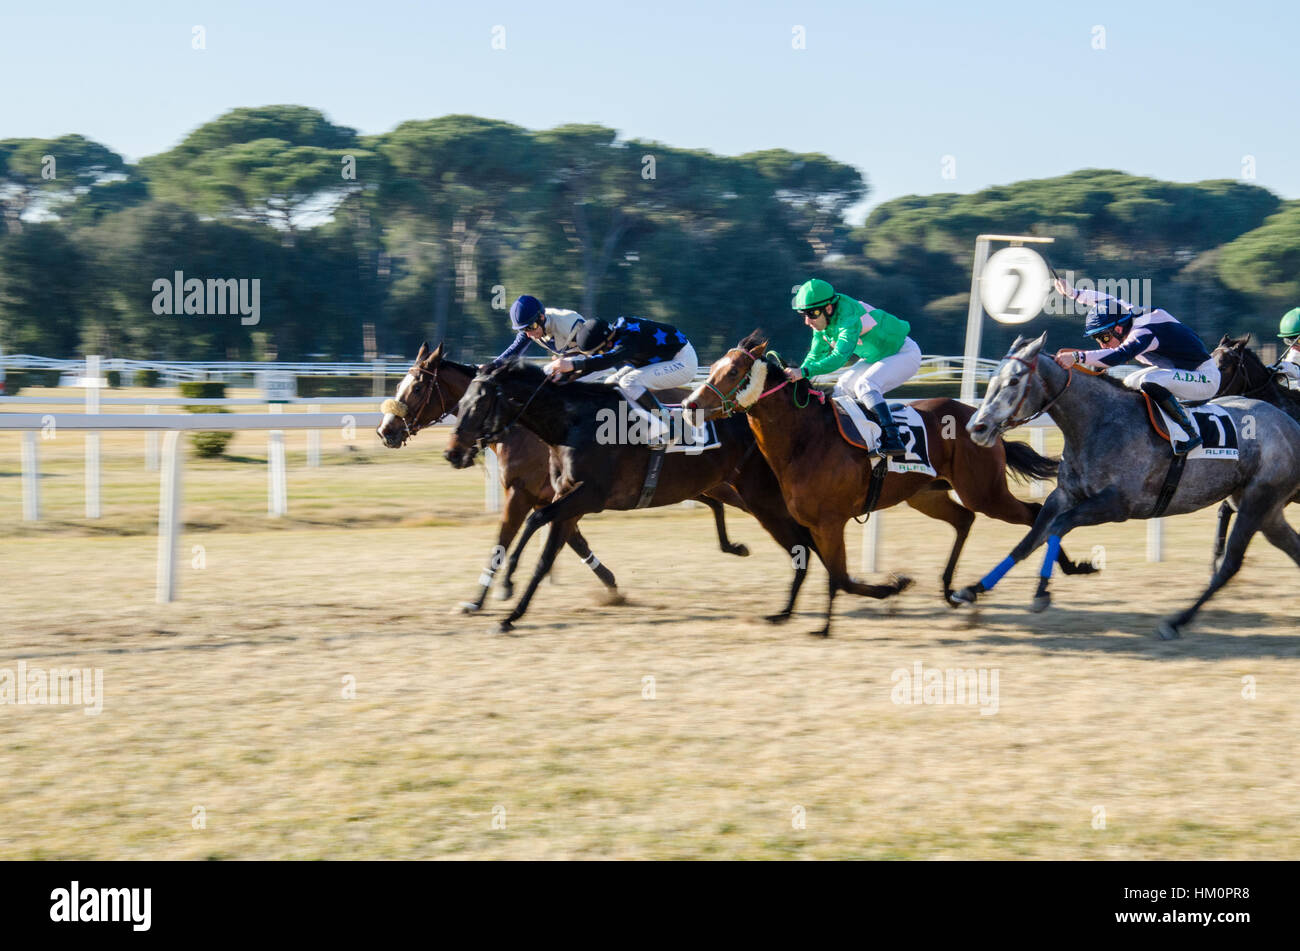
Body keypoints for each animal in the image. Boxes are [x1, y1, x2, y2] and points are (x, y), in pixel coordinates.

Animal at [374, 342, 754, 608]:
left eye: (417, 388)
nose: (385, 430)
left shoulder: (525, 494)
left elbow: (504, 541)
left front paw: (486, 596)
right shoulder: (557, 497)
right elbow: (571, 540)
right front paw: (610, 584)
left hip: (725, 484)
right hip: (703, 485)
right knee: (719, 506)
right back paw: (733, 546)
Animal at [441, 355, 816, 631]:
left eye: (479, 402)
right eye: (461, 401)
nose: (452, 453)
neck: (571, 423)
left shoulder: (586, 497)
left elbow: (535, 521)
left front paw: (506, 584)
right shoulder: (567, 500)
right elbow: (546, 552)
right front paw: (511, 615)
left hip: (757, 495)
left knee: (803, 537)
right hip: (732, 489)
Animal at [681, 332, 1097, 639]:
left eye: (733, 371)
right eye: (712, 368)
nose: (689, 405)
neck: (804, 440)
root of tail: (982, 420)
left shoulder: (830, 522)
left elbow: (840, 576)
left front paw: (887, 590)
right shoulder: (809, 522)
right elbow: (820, 568)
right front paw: (789, 614)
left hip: (984, 491)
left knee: (1032, 513)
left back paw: (1068, 568)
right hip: (926, 495)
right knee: (964, 520)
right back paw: (950, 590)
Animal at [951, 332, 1300, 639]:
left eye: (1013, 381)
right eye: (992, 379)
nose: (976, 427)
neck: (1098, 422)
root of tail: (1289, 422)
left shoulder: (1117, 505)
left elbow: (1058, 527)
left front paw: (1041, 591)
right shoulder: (1064, 495)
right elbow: (1029, 540)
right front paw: (972, 589)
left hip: (1258, 499)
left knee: (1230, 564)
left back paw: (1176, 622)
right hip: (1263, 508)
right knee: (1290, 547)